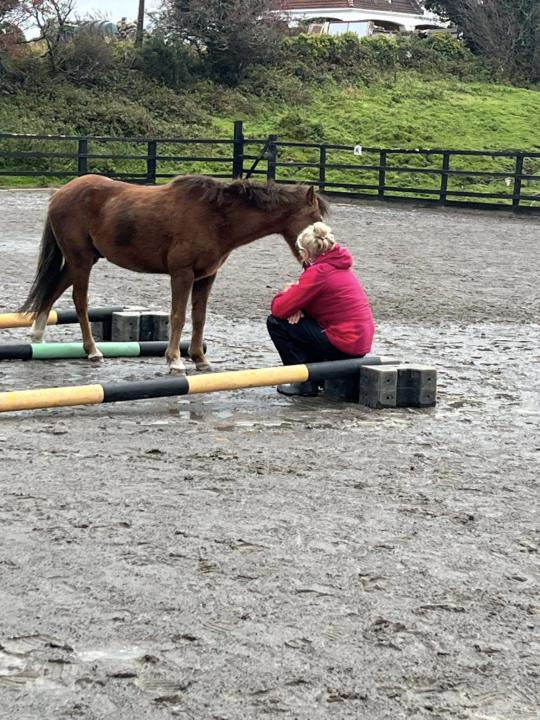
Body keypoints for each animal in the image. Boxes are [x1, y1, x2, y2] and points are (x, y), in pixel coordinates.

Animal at [21, 174, 329, 373]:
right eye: (315, 219)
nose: (326, 243)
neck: (215, 217)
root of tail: (60, 193)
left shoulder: (206, 277)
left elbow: (199, 317)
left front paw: (200, 359)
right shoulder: (182, 274)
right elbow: (179, 316)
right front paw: (175, 361)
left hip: (82, 260)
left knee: (53, 288)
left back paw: (38, 337)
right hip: (81, 261)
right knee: (80, 302)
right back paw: (92, 350)